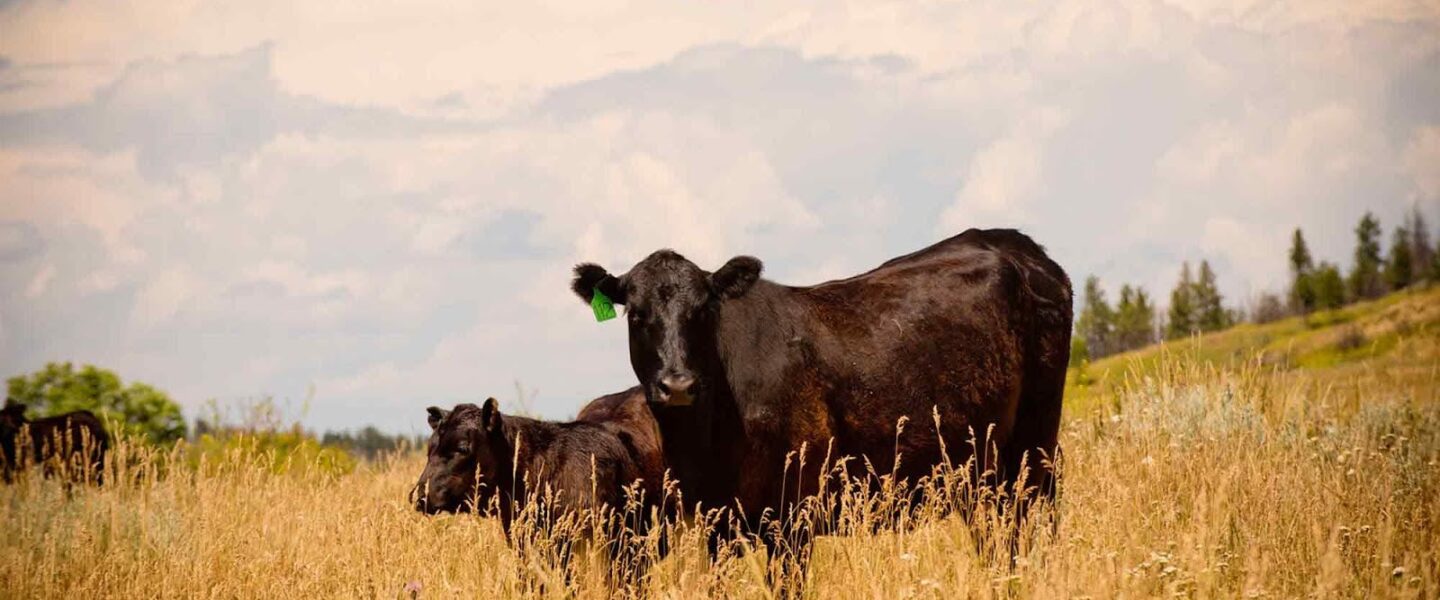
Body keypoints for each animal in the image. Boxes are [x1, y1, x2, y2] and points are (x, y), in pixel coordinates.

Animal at [570, 228, 1073, 575]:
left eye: (703, 310)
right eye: (637, 314)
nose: (677, 384)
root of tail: (1010, 242)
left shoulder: (793, 517)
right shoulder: (717, 524)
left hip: (1033, 447)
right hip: (983, 471)